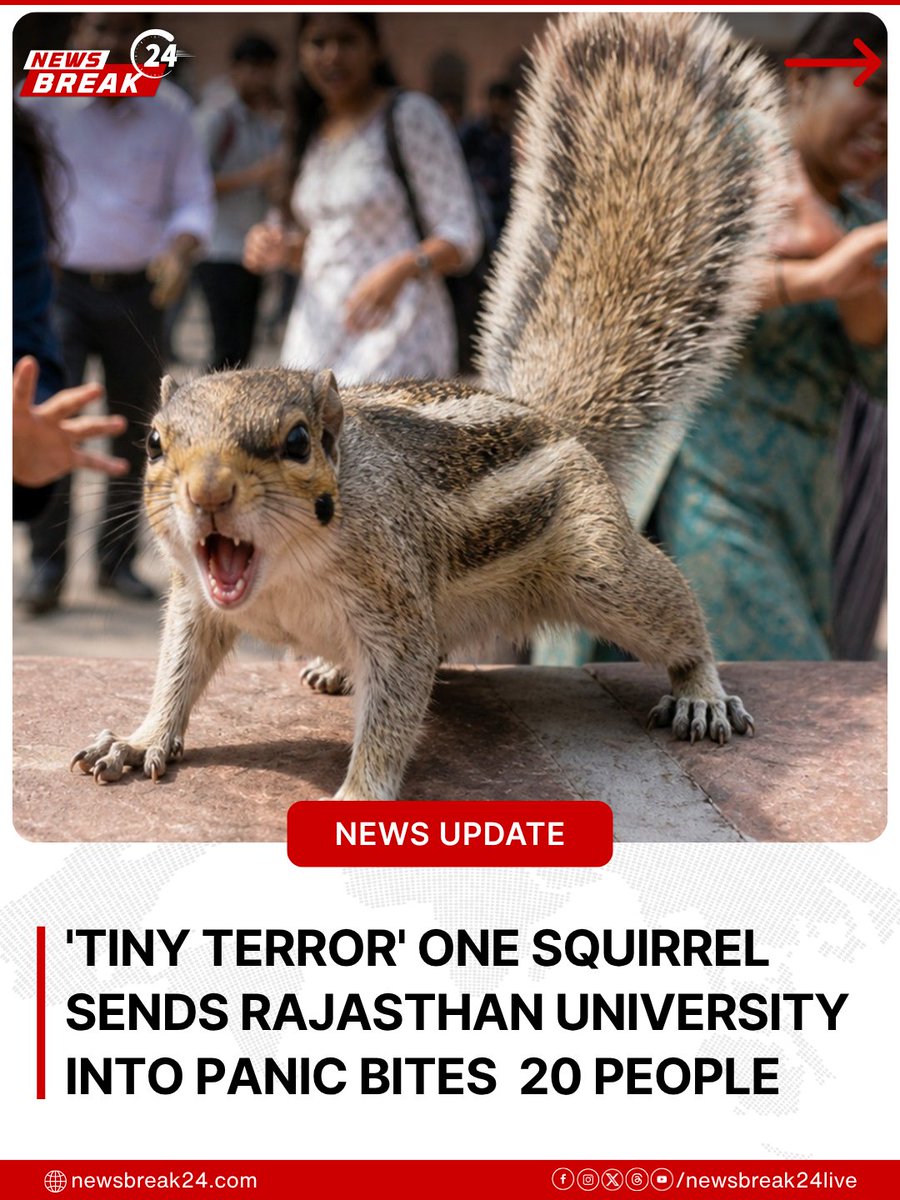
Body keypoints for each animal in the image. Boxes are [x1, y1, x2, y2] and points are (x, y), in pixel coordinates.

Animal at [70, 12, 784, 801]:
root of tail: (553, 419)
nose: (208, 493)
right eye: (155, 444)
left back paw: (701, 692)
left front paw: (359, 796)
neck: (285, 573)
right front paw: (138, 740)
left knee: (675, 612)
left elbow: (395, 706)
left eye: (297, 442)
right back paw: (330, 667)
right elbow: (177, 672)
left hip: (602, 563)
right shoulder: (197, 603)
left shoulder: (397, 610)